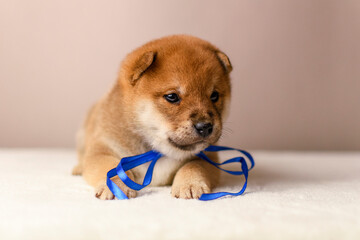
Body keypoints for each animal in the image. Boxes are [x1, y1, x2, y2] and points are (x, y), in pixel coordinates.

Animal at [71, 34, 232, 200]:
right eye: (172, 96)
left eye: (214, 96)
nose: (205, 127)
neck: (157, 150)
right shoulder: (103, 149)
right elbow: (112, 167)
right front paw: (117, 187)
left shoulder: (207, 156)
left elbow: (194, 166)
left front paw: (191, 184)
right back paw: (78, 168)